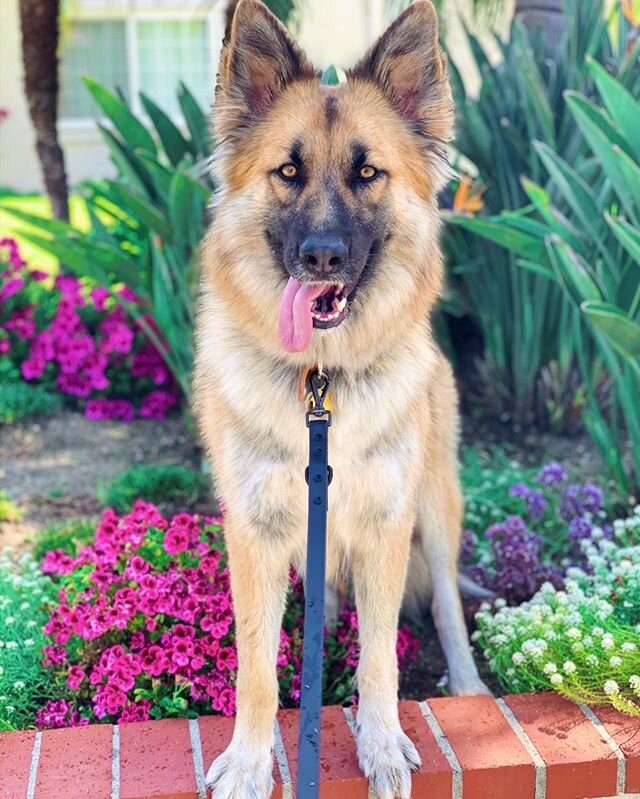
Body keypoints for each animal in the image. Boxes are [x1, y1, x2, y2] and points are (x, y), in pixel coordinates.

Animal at [192, 3, 488, 796]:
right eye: (288, 172)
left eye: (368, 173)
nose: (321, 257)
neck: (319, 380)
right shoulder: (256, 531)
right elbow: (256, 666)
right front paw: (248, 759)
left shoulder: (387, 522)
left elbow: (381, 655)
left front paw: (381, 743)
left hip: (435, 509)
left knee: (446, 605)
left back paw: (470, 686)